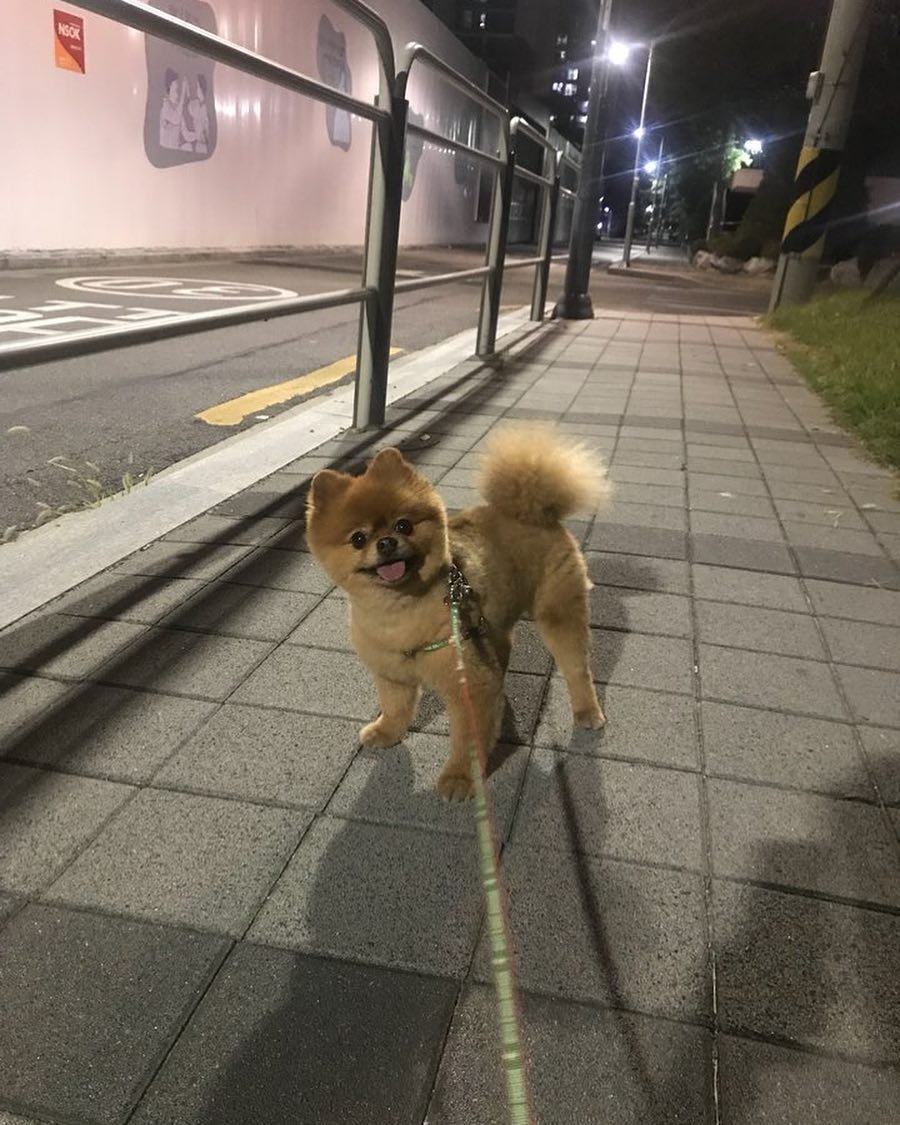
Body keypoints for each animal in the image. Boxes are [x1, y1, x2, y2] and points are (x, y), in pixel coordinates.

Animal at [306, 423, 607, 801]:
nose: (386, 543)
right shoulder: (392, 673)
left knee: (577, 668)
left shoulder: (468, 683)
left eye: (404, 525)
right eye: (358, 538)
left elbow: (467, 739)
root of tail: (532, 511)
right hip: (491, 624)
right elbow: (395, 707)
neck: (399, 613)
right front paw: (388, 733)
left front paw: (460, 778)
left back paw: (587, 710)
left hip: (558, 613)